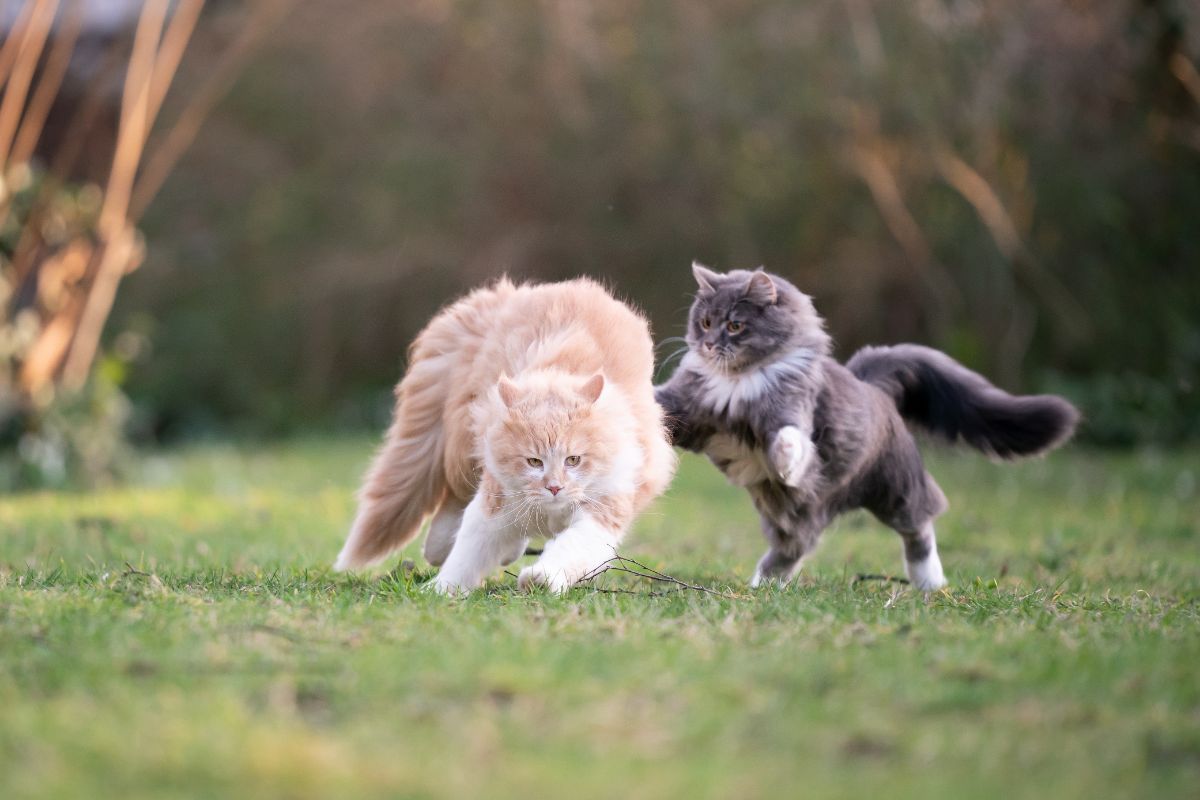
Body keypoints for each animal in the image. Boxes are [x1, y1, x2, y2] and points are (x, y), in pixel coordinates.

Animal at [333, 275, 681, 594]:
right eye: (533, 462)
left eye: (573, 460)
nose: (554, 487)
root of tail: (502, 294)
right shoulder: (494, 502)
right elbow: (467, 554)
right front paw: (441, 590)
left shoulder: (602, 512)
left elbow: (569, 550)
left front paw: (542, 580)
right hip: (463, 446)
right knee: (452, 502)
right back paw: (439, 548)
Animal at [657, 262, 1080, 587]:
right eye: (705, 322)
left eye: (734, 326)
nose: (709, 344)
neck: (736, 383)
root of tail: (872, 384)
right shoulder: (690, 408)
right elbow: (659, 405)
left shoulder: (793, 405)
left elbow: (791, 437)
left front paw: (786, 461)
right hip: (791, 513)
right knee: (792, 549)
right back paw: (762, 585)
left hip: (896, 488)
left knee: (920, 527)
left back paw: (930, 582)